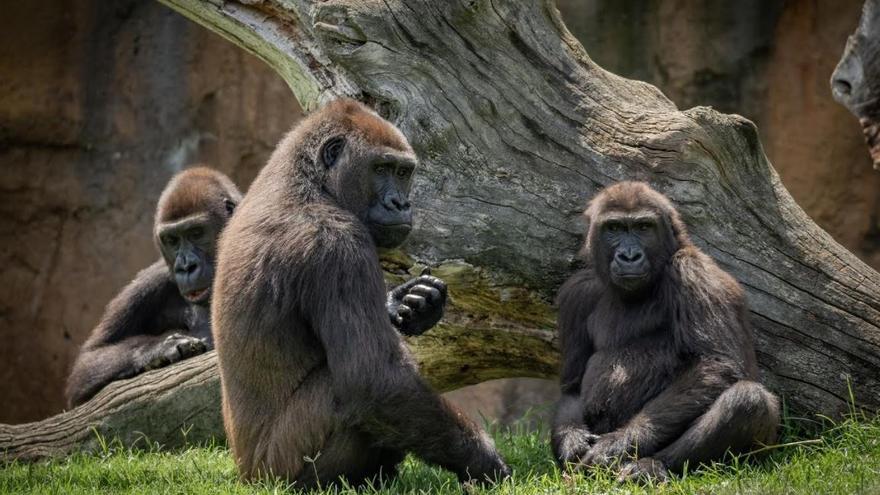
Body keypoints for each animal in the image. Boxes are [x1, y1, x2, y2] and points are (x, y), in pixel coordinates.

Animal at [65, 165, 444, 408]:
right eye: (172, 240)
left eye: (196, 233)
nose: (186, 266)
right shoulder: (152, 280)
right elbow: (84, 369)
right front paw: (160, 348)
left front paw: (400, 304)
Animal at [211, 99, 508, 490]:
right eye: (380, 168)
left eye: (403, 173)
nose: (400, 203)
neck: (309, 181)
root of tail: (245, 474)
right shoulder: (336, 242)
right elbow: (373, 378)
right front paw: (480, 457)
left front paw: (408, 304)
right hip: (277, 473)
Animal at [552, 180, 780, 482]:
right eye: (614, 228)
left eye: (643, 227)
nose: (629, 256)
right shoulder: (577, 294)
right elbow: (573, 385)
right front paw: (572, 439)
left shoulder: (693, 272)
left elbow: (716, 365)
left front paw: (616, 444)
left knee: (747, 401)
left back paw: (652, 465)